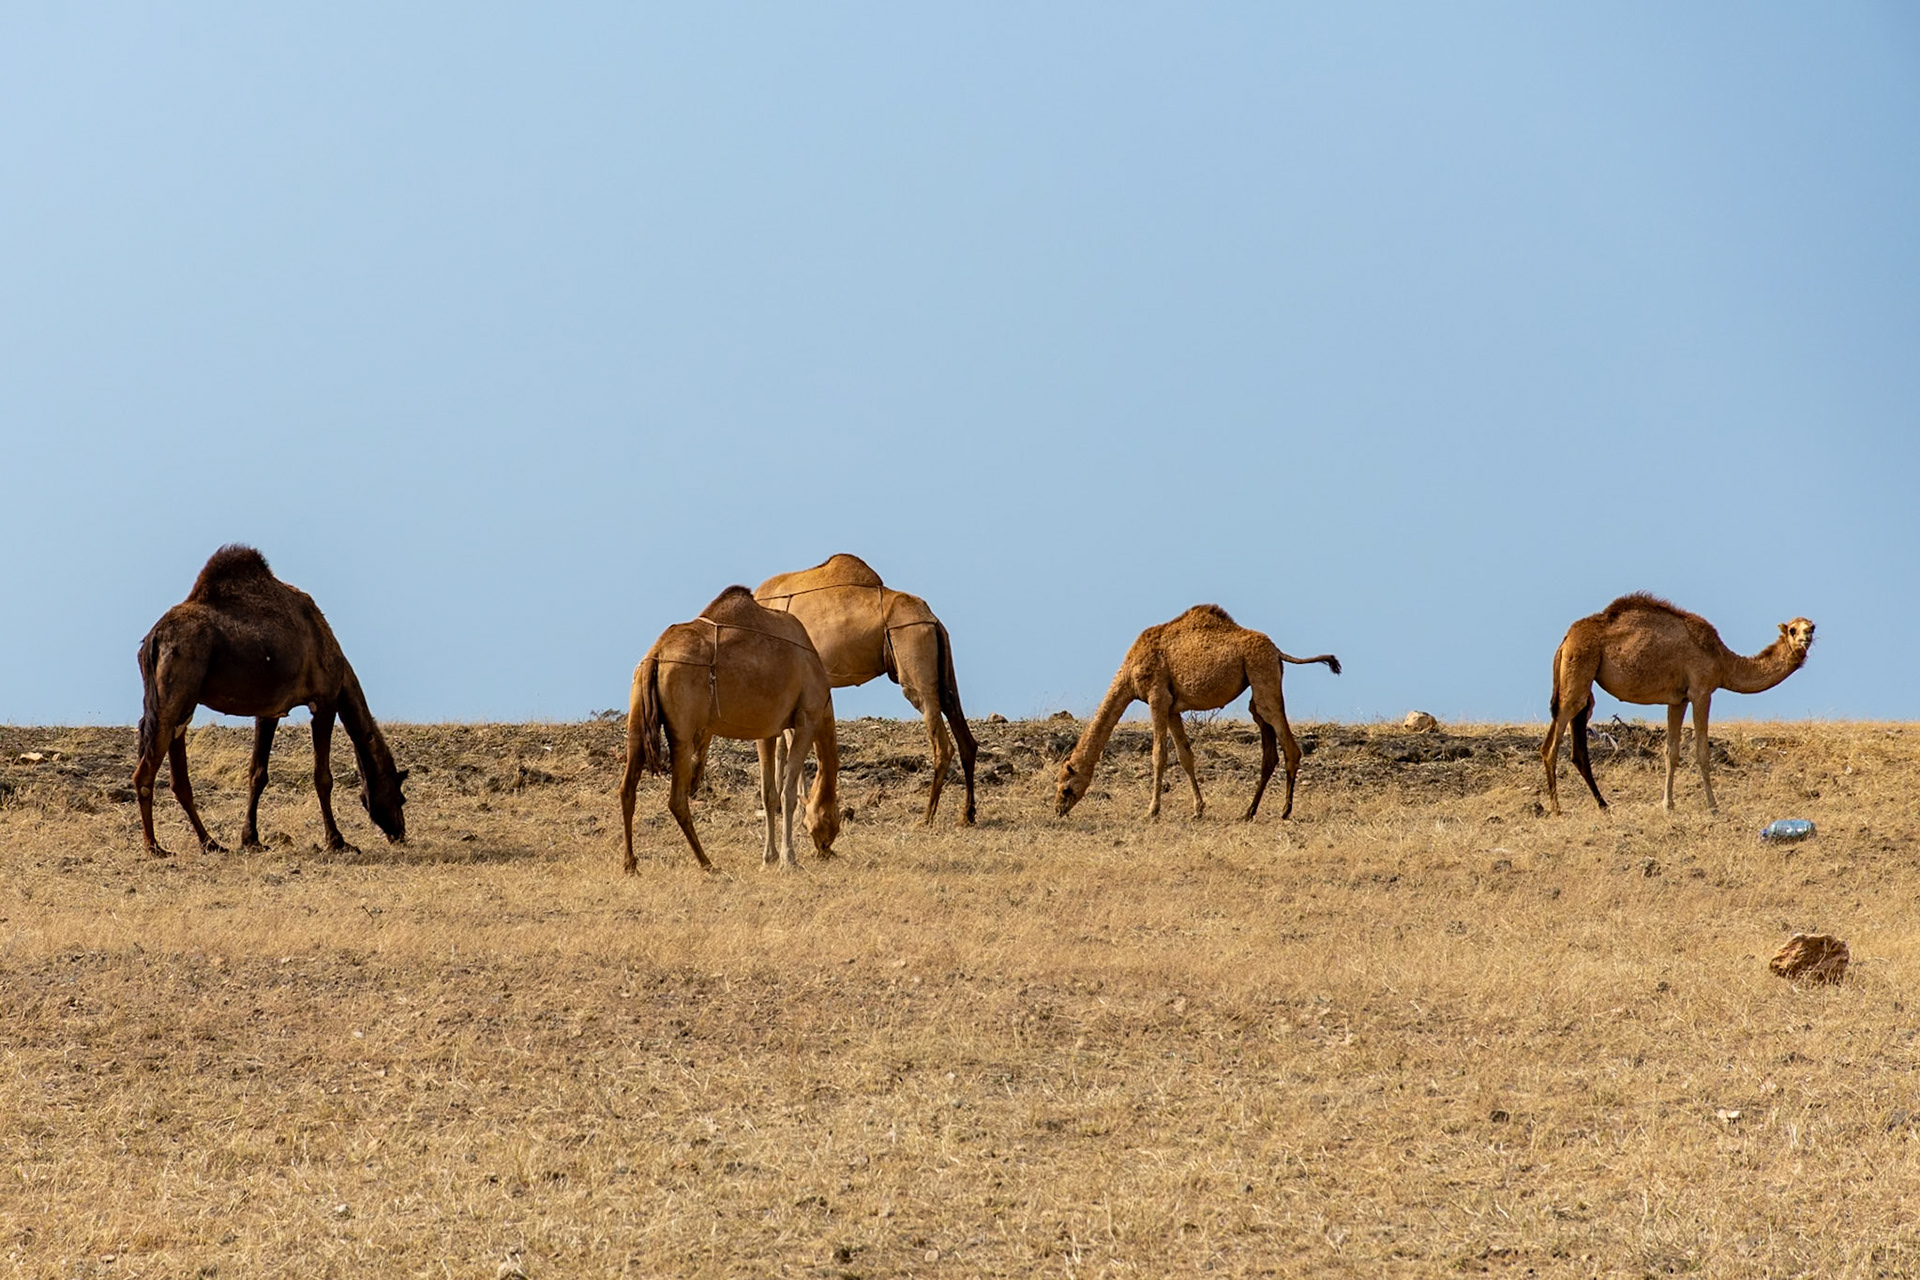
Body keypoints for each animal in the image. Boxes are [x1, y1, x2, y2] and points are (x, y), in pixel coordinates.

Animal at [133, 545, 408, 858]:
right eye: (399, 796)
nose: (400, 833)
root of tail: (153, 639)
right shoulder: (324, 701)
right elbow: (323, 777)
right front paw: (337, 841)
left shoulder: (269, 710)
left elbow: (258, 774)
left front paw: (251, 839)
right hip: (175, 695)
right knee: (144, 773)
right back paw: (154, 846)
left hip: (180, 705)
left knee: (179, 779)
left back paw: (211, 843)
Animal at [619, 586, 842, 873]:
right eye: (834, 819)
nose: (827, 849)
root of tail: (655, 655)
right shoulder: (808, 716)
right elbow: (787, 794)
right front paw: (788, 860)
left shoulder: (767, 729)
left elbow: (769, 793)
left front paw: (768, 858)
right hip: (682, 729)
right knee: (677, 799)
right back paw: (707, 863)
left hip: (637, 714)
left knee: (627, 788)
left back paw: (630, 864)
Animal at [755, 554, 977, 825]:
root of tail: (932, 619)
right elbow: (782, 746)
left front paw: (798, 811)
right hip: (942, 663)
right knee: (963, 731)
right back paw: (967, 814)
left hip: (913, 650)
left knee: (941, 740)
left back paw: (926, 817)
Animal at [1054, 605, 1340, 822]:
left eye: (1066, 787)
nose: (1058, 809)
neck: (1128, 674)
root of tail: (1277, 651)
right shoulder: (1172, 708)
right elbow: (1185, 756)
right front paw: (1198, 810)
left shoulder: (1157, 698)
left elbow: (1159, 755)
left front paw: (1152, 811)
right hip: (1259, 682)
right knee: (1268, 746)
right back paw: (1249, 812)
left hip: (1262, 673)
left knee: (1289, 745)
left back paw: (1284, 811)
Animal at [1541, 593, 1815, 814]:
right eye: (1793, 629)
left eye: (1812, 626)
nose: (1807, 637)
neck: (1722, 661)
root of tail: (1566, 639)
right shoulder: (1701, 692)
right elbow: (1701, 751)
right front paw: (1713, 806)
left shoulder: (1678, 699)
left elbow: (1671, 751)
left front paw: (1667, 804)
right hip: (1580, 664)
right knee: (1552, 743)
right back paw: (1556, 807)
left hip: (1582, 679)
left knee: (1577, 738)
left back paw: (1603, 805)